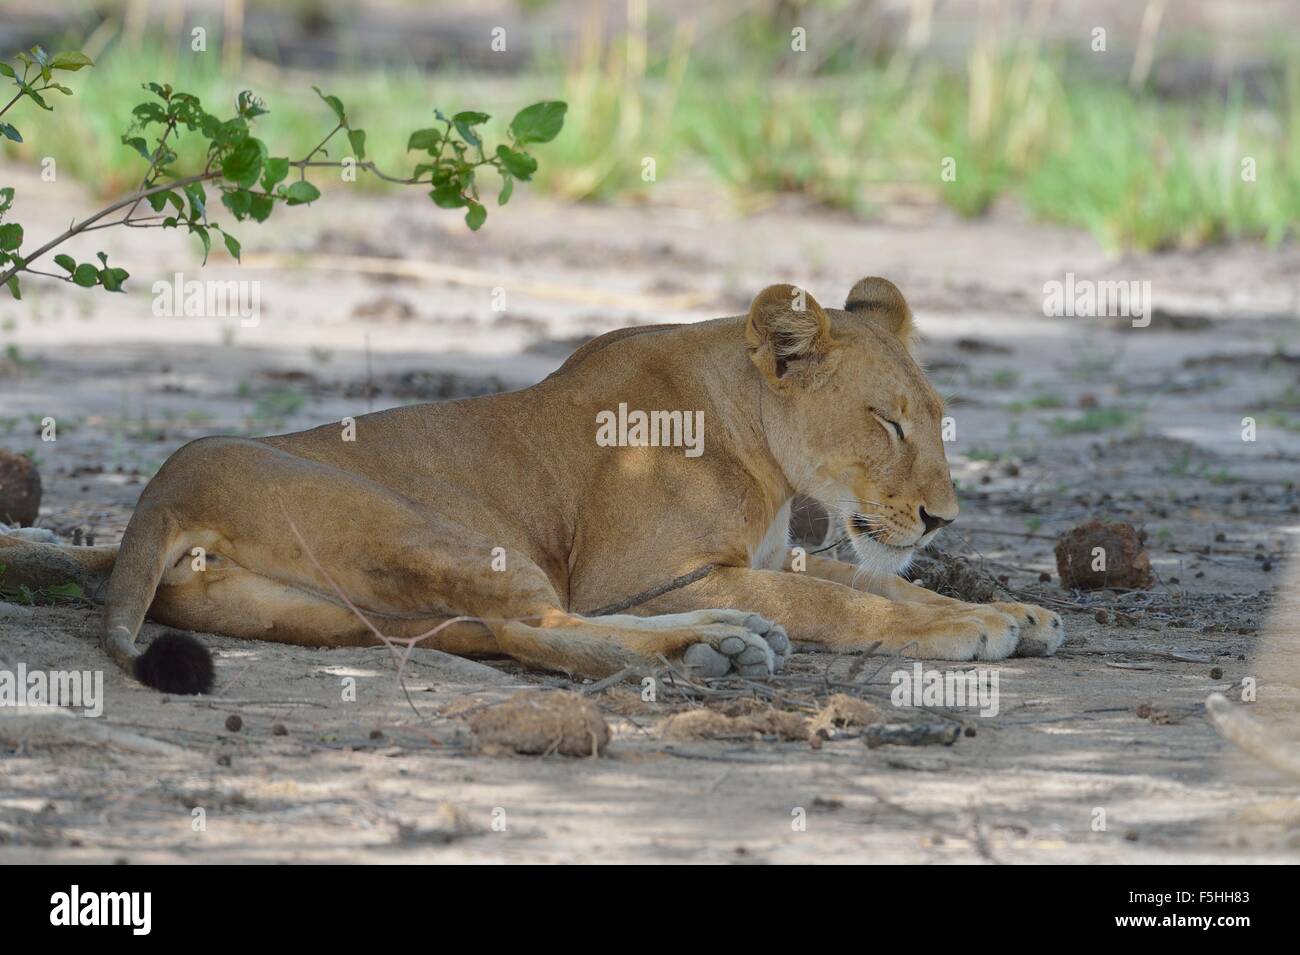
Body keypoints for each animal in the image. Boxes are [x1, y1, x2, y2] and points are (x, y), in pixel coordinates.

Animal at [0, 277, 1063, 694]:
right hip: (449, 535)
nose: (943, 517)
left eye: (935, 417)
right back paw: (716, 644)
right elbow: (836, 598)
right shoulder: (644, 577)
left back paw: (718, 645)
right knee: (547, 626)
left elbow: (860, 578)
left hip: (342, 604)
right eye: (887, 422)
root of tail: (161, 488)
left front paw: (1011, 608)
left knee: (502, 633)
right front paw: (973, 627)